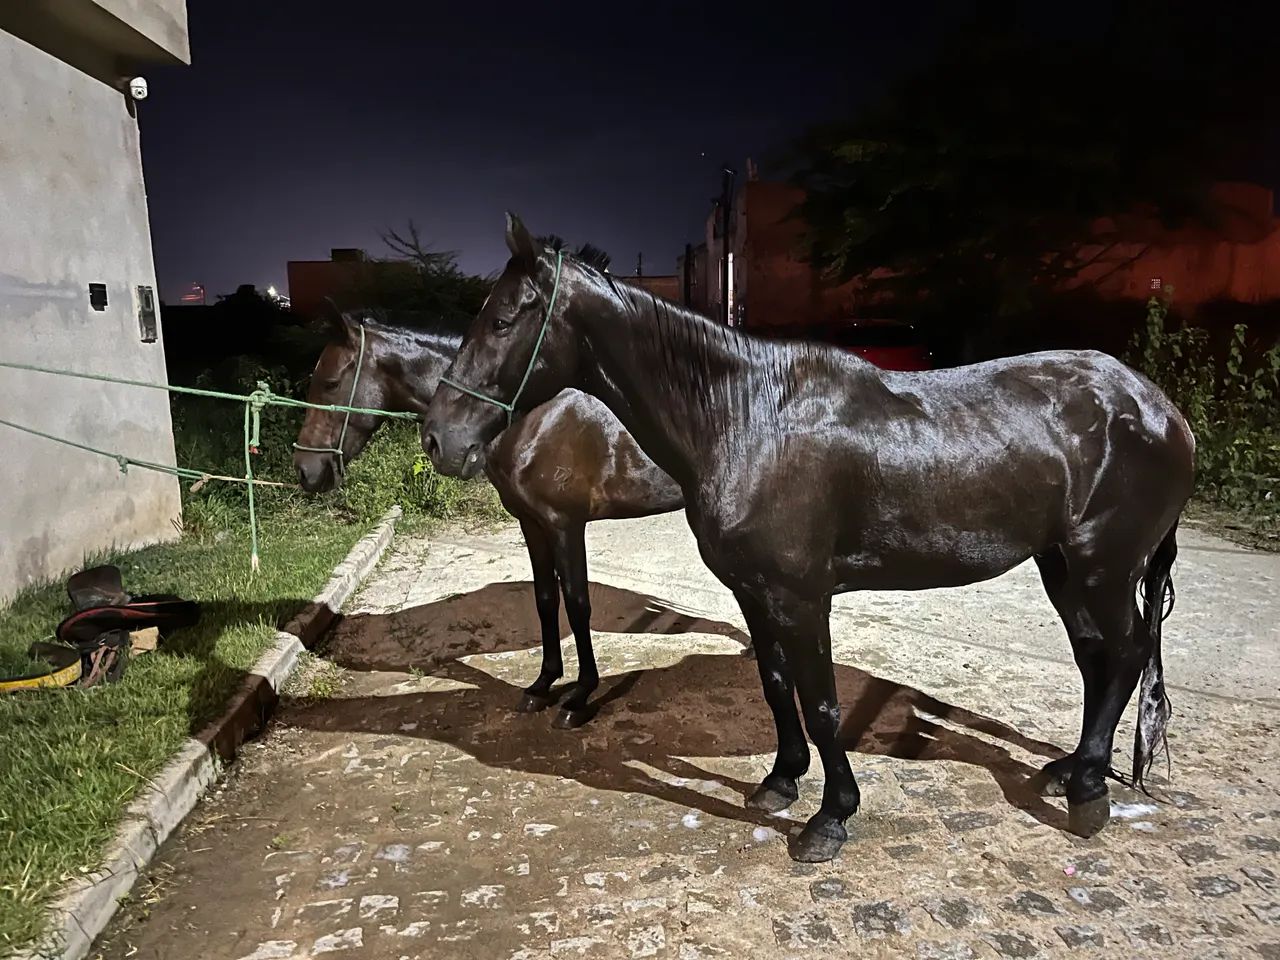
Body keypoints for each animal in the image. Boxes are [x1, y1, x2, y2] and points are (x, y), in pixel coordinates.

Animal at [292, 307, 684, 727]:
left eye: (331, 383)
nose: (304, 470)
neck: (534, 417)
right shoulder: (532, 524)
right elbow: (546, 600)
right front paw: (542, 684)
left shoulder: (565, 525)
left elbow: (577, 605)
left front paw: (580, 696)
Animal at [421, 213, 1196, 863]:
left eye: (505, 319)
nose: (438, 438)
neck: (746, 418)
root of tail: (1159, 408)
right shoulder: (755, 593)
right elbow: (774, 685)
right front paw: (781, 780)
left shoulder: (801, 597)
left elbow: (822, 706)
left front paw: (831, 816)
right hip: (1061, 565)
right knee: (1099, 661)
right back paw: (1071, 769)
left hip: (1103, 566)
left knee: (1126, 654)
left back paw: (1089, 790)